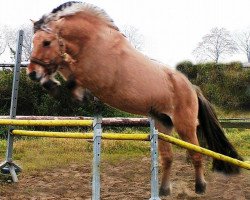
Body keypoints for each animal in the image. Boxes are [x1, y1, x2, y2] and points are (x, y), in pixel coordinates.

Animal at [26, 1, 242, 195]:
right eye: (33, 42)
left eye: (46, 42)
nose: (32, 74)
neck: (93, 42)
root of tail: (192, 88)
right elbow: (64, 66)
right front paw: (52, 84)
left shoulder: (95, 76)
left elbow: (70, 73)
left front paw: (74, 92)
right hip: (163, 123)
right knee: (168, 157)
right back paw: (163, 190)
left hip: (185, 125)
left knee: (196, 153)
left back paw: (200, 187)